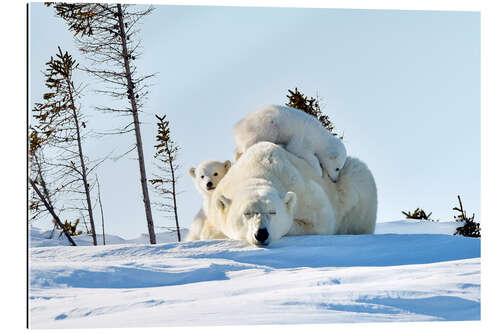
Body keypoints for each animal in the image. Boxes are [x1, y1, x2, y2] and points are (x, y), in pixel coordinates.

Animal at [201, 140, 376, 244]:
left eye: (273, 212)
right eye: (247, 213)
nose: (261, 234)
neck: (257, 171)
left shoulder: (303, 189)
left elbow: (320, 222)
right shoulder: (215, 207)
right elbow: (210, 230)